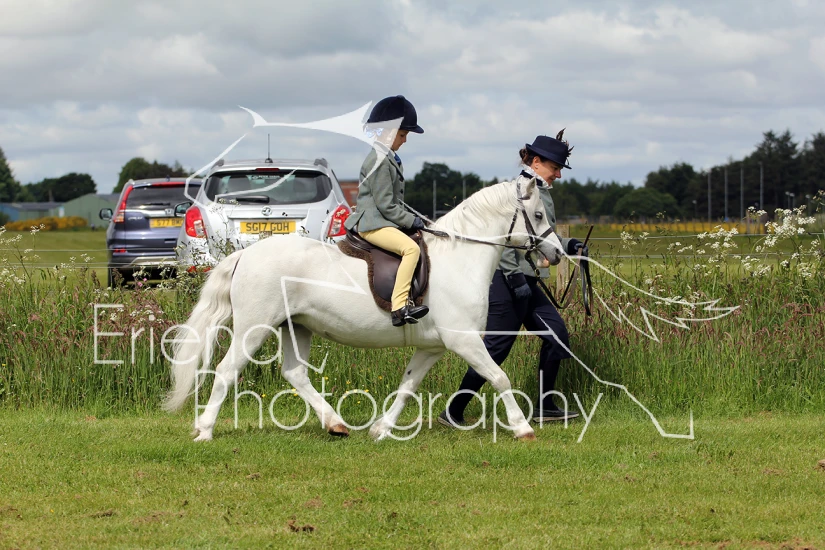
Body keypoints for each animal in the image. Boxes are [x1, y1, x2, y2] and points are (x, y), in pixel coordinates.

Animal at [163, 177, 564, 441]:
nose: (558, 254)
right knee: (226, 370)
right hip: (255, 326)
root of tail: (245, 254)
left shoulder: (432, 347)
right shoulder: (463, 340)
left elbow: (408, 385)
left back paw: (335, 424)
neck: (460, 257)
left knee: (295, 373)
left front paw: (381, 429)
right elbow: (499, 376)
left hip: (295, 326)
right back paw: (205, 430)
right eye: (538, 215)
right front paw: (523, 428)